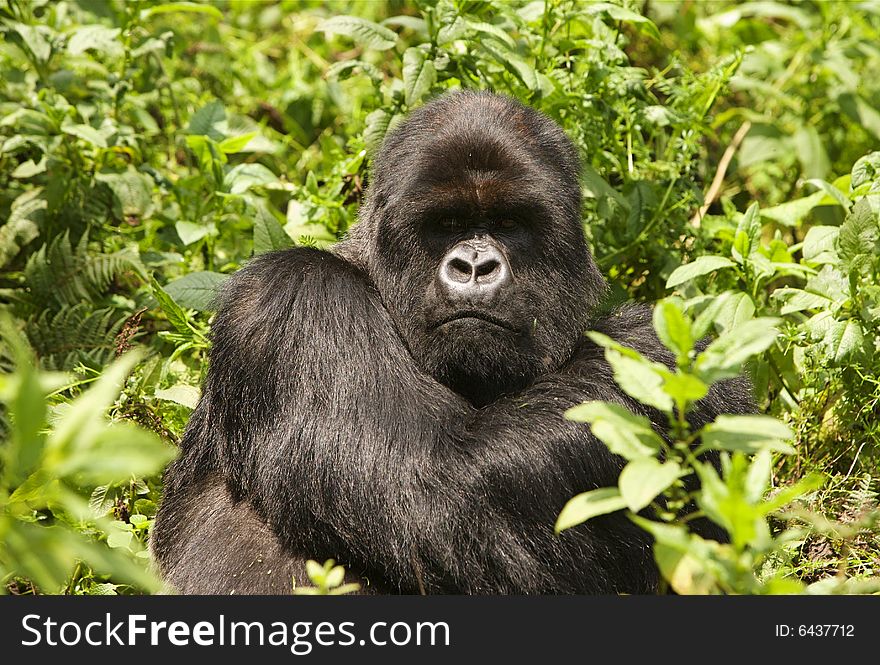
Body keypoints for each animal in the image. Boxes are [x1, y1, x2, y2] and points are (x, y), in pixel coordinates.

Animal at [151, 91, 748, 592]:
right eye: (447, 222)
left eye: (509, 223)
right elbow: (437, 485)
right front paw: (658, 355)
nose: (475, 266)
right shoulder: (296, 300)